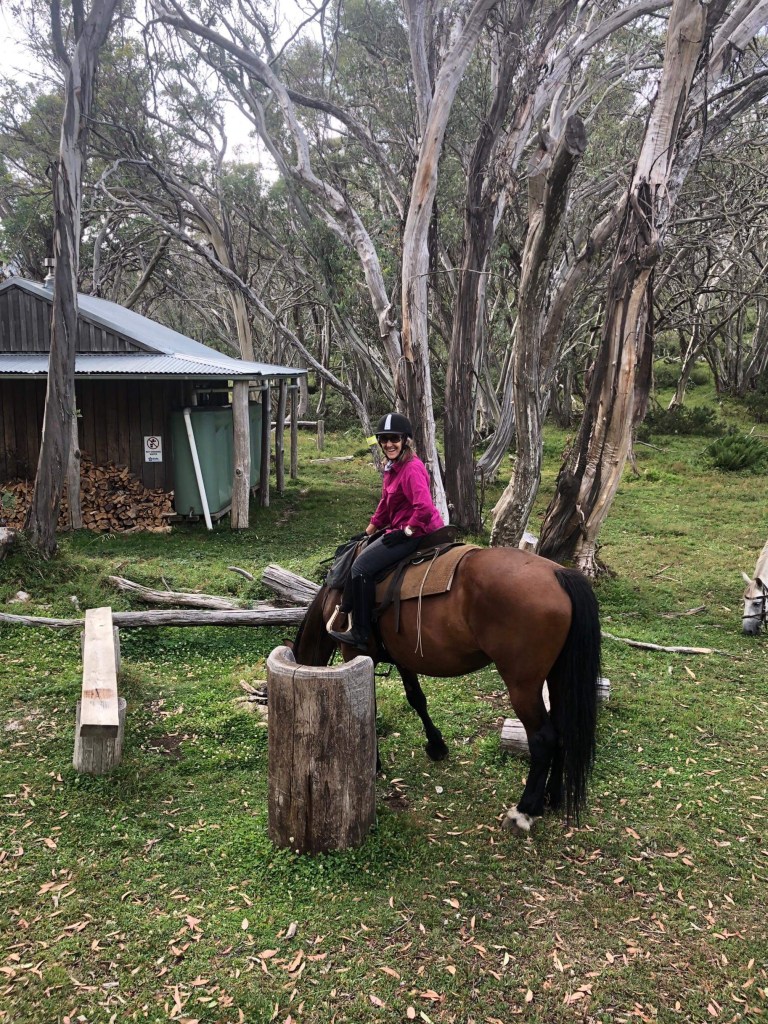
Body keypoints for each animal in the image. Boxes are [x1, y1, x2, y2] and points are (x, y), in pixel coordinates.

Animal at [292, 545, 602, 832]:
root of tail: (558, 574)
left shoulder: (355, 652)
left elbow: (369, 706)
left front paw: (375, 762)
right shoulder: (403, 656)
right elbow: (416, 698)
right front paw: (437, 745)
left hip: (522, 685)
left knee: (543, 738)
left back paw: (524, 811)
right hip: (557, 676)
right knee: (563, 729)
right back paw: (552, 796)